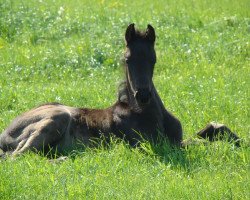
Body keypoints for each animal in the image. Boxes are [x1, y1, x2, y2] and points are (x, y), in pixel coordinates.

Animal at [0, 23, 240, 156]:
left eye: (153, 59)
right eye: (127, 59)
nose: (143, 95)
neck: (148, 114)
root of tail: (4, 134)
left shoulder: (176, 139)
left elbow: (214, 129)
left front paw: (238, 140)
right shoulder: (157, 145)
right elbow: (203, 143)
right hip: (58, 116)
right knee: (17, 157)